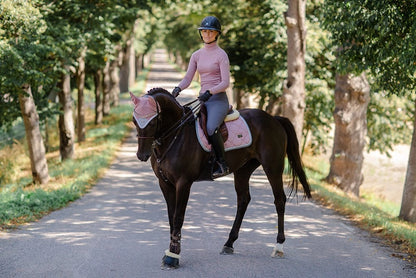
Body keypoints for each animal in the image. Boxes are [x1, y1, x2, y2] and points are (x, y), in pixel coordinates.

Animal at [131, 87, 312, 270]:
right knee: (243, 200)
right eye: (134, 120)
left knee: (279, 200)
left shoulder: (183, 183)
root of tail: (274, 119)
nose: (142, 155)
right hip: (243, 170)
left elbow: (178, 217)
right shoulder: (165, 183)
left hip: (272, 167)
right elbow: (171, 216)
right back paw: (229, 243)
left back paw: (278, 246)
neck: (176, 135)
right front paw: (171, 252)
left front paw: (172, 257)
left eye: (152, 122)